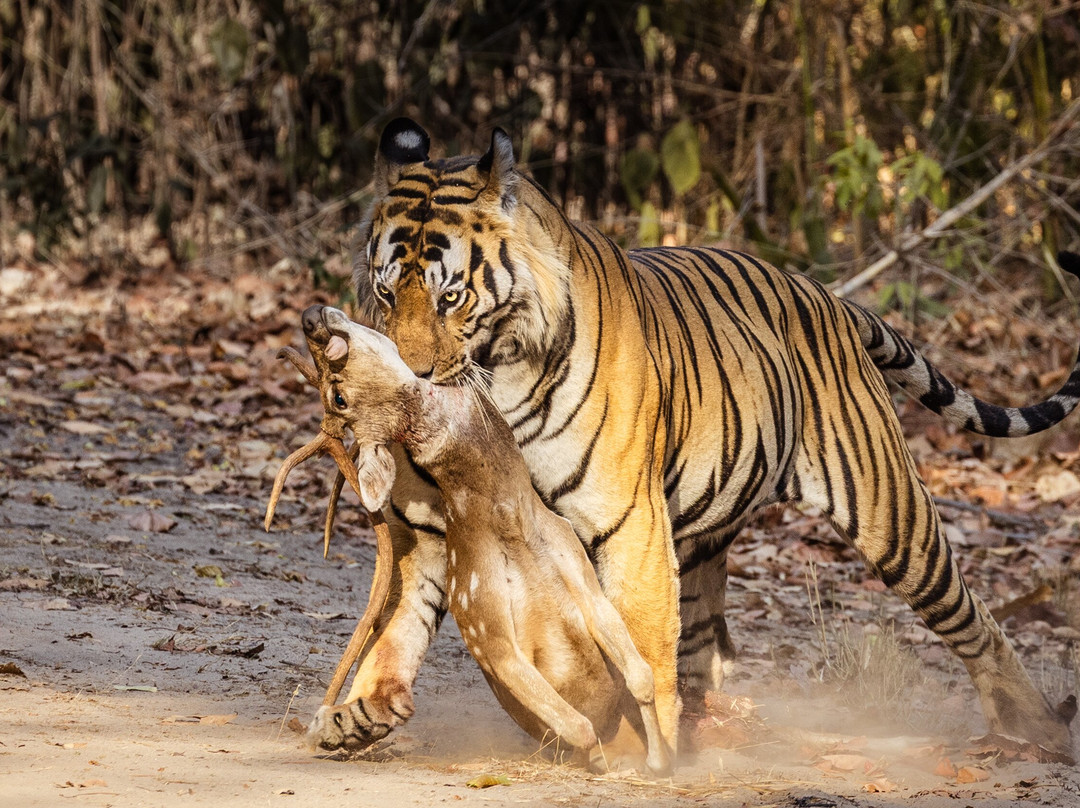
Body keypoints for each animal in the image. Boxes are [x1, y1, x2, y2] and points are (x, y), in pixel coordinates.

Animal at [307, 117, 1079, 762]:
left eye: (451, 297)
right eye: (386, 292)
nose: (413, 372)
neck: (499, 382)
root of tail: (826, 293)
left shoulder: (627, 522)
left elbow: (641, 644)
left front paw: (639, 748)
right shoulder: (439, 525)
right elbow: (400, 622)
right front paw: (362, 712)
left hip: (890, 511)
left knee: (971, 616)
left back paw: (1035, 726)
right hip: (705, 537)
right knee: (708, 646)